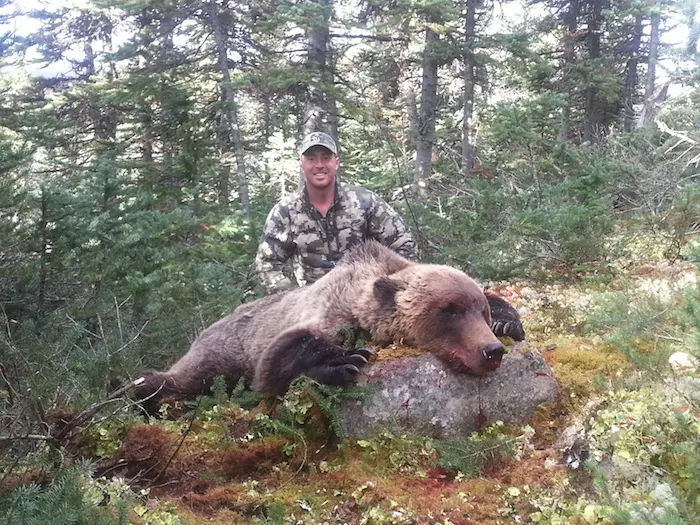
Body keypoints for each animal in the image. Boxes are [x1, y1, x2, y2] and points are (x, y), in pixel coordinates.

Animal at [134, 241, 524, 408]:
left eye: (480, 312)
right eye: (449, 310)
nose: (491, 351)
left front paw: (508, 321)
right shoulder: (329, 311)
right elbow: (277, 358)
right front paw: (343, 360)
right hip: (219, 353)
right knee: (181, 379)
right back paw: (139, 391)